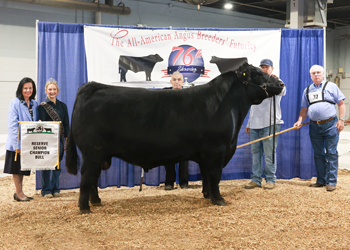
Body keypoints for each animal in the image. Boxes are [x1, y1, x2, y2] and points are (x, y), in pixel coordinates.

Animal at [66, 62, 284, 213]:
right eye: (258, 74)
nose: (281, 83)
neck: (227, 104)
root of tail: (92, 86)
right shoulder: (217, 151)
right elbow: (214, 176)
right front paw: (219, 200)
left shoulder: (206, 154)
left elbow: (206, 176)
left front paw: (207, 196)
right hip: (92, 152)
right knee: (87, 176)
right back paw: (85, 208)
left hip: (99, 154)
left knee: (93, 178)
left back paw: (97, 202)